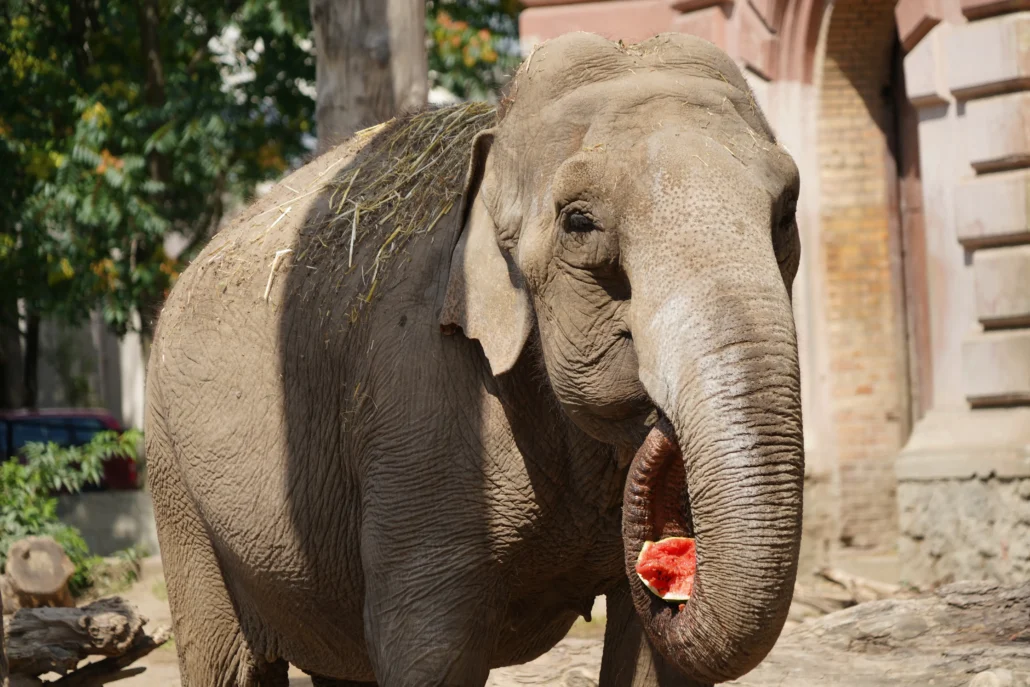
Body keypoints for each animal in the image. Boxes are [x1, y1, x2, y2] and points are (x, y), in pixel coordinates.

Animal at [145, 30, 803, 687]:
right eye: (579, 222)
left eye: (786, 214)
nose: (657, 421)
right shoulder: (416, 408)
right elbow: (432, 650)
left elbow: (651, 658)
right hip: (175, 485)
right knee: (224, 659)